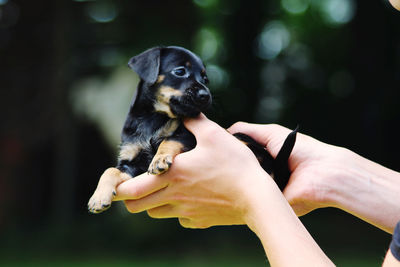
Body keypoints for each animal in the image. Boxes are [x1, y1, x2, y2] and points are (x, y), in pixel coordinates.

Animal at [87, 45, 296, 214]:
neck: (154, 118)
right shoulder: (130, 163)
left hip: (242, 138)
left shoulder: (189, 137)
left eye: (205, 78)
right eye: (180, 71)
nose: (206, 95)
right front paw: (98, 197)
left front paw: (159, 159)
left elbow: (170, 139)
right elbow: (110, 170)